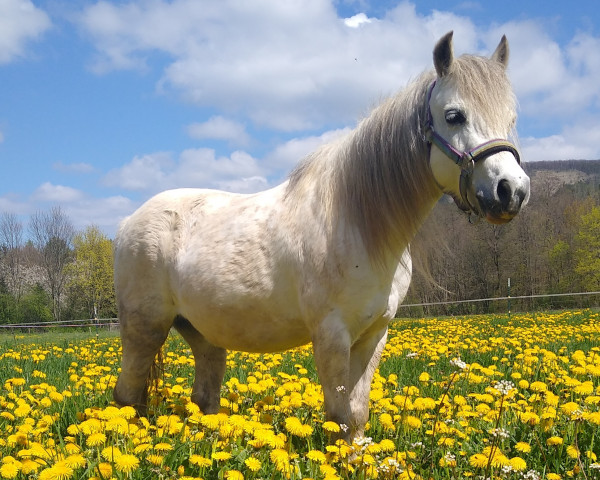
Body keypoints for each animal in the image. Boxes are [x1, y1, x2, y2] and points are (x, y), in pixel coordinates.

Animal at [113, 31, 528, 440]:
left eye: (511, 119)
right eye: (454, 115)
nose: (512, 191)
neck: (358, 224)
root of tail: (127, 222)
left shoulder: (374, 334)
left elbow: (356, 416)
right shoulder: (332, 335)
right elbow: (339, 417)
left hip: (203, 332)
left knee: (204, 398)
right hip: (145, 329)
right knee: (127, 397)